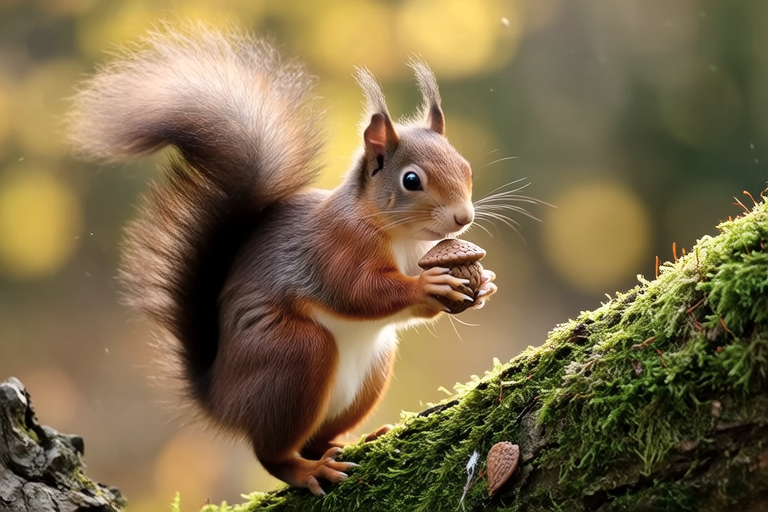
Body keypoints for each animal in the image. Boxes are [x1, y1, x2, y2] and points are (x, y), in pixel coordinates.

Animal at [68, 24, 497, 496]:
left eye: (465, 167)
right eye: (411, 180)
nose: (463, 217)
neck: (401, 238)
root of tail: (220, 398)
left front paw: (483, 284)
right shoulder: (333, 249)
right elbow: (358, 293)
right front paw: (429, 285)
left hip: (372, 368)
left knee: (315, 438)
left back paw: (359, 438)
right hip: (292, 355)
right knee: (272, 454)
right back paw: (309, 471)